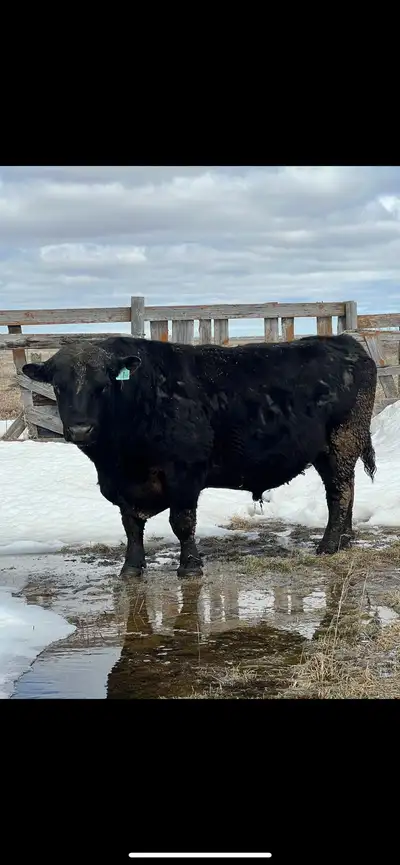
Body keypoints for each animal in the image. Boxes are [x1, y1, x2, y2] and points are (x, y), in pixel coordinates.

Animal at [22, 332, 377, 579]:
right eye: (57, 386)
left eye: (103, 385)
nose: (80, 429)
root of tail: (345, 342)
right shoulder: (122, 486)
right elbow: (131, 526)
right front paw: (131, 568)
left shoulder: (184, 474)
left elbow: (181, 523)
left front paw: (190, 566)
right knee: (346, 489)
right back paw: (345, 538)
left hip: (342, 441)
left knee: (340, 492)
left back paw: (329, 544)